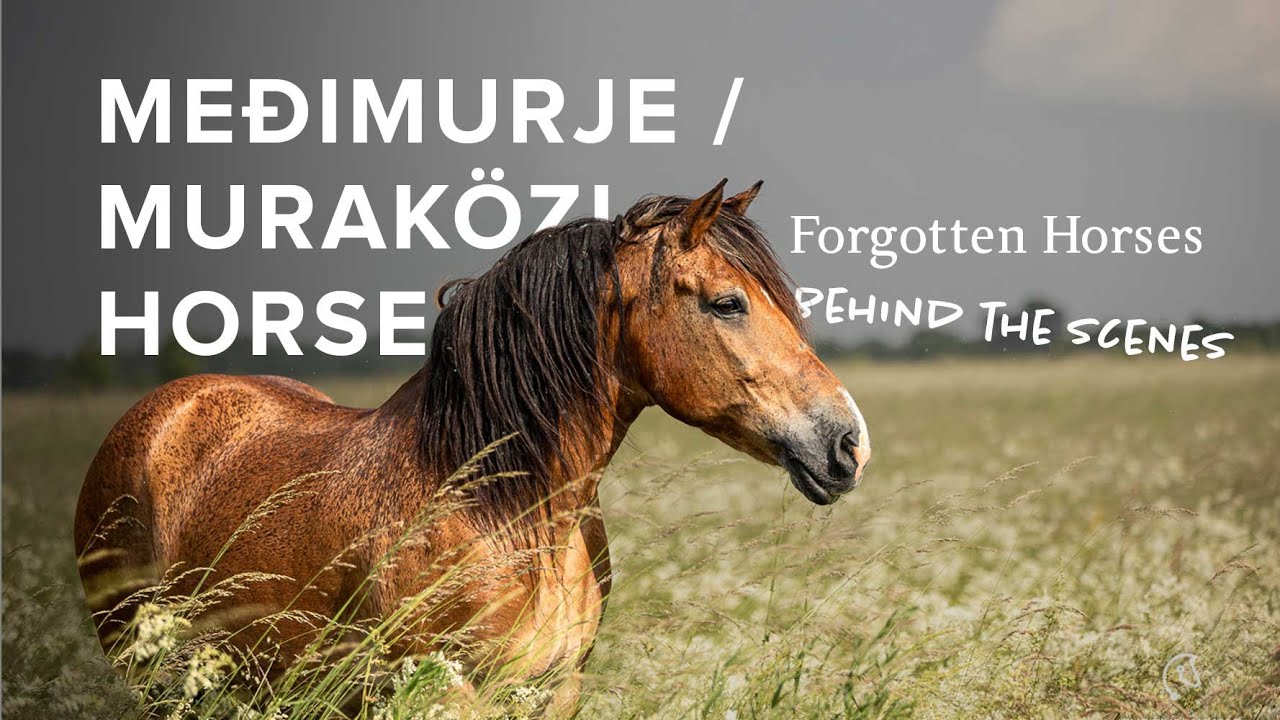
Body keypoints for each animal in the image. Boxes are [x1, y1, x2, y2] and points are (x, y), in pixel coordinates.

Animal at [73, 179, 871, 713]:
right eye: (727, 303)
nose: (848, 444)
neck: (502, 508)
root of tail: (164, 409)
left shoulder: (558, 689)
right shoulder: (446, 692)